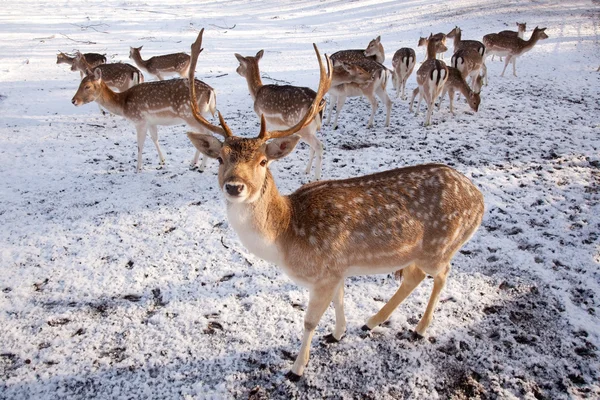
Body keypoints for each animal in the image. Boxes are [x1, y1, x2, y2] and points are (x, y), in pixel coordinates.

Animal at [71, 28, 220, 173]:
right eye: (80, 83)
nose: (74, 100)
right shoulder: (151, 121)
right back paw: (193, 163)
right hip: (199, 114)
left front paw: (138, 168)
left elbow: (140, 144)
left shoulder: (139, 120)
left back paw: (201, 166)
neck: (122, 104)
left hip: (189, 114)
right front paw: (162, 161)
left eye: (87, 86)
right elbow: (155, 138)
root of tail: (211, 91)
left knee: (208, 133)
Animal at [234, 49, 328, 180]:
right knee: (312, 147)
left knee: (319, 146)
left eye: (240, 64)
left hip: (302, 127)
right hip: (311, 127)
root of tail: (319, 104)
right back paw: (306, 170)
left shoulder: (263, 118)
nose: (236, 70)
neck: (255, 93)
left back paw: (316, 177)